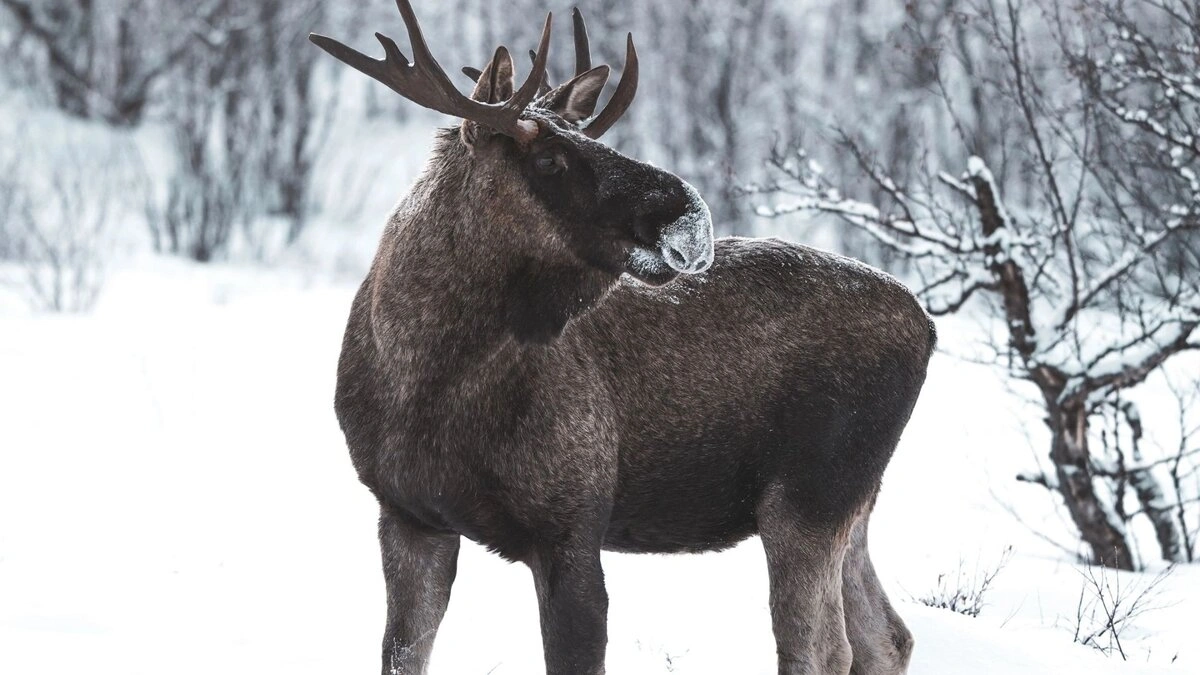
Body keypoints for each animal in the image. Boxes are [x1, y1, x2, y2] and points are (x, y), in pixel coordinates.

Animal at [310, 2, 934, 674]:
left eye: (594, 140)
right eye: (548, 160)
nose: (690, 215)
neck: (425, 379)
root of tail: (926, 326)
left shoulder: (572, 524)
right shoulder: (408, 515)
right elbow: (402, 653)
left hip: (809, 495)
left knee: (823, 647)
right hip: (850, 502)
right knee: (886, 635)